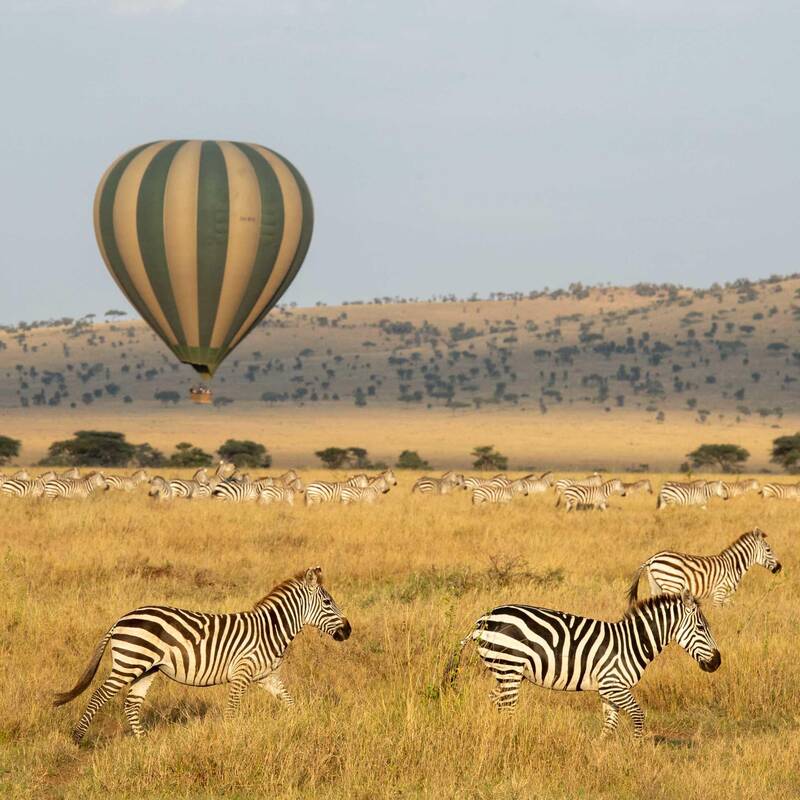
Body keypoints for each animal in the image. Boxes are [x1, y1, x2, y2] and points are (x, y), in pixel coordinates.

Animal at [51, 564, 348, 740]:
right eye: (327, 602)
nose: (349, 631)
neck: (270, 630)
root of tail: (120, 620)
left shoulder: (267, 676)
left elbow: (290, 702)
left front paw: (303, 724)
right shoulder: (242, 673)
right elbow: (232, 710)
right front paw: (231, 738)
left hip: (147, 668)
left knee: (131, 703)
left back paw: (143, 743)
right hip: (129, 663)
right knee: (99, 695)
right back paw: (78, 738)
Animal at [444, 588, 720, 736]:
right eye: (701, 627)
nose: (717, 662)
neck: (633, 642)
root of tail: (483, 619)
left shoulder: (608, 689)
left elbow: (610, 723)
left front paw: (601, 753)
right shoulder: (614, 685)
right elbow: (638, 715)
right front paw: (637, 749)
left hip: (504, 670)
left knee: (496, 701)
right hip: (509, 666)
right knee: (507, 708)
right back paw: (508, 739)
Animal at [624, 524, 780, 608]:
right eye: (768, 550)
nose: (779, 568)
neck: (734, 566)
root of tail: (652, 558)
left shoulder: (727, 596)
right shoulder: (720, 592)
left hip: (655, 585)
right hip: (671, 585)